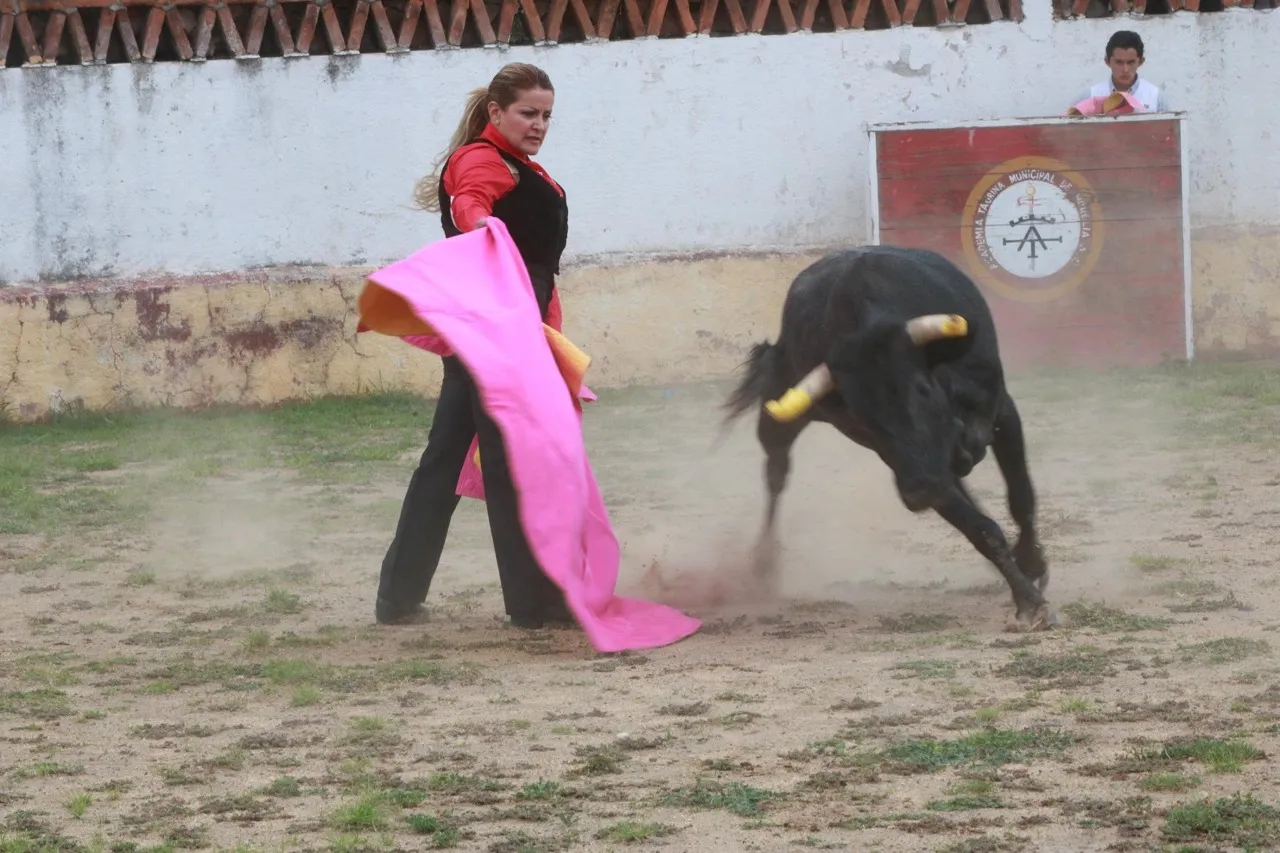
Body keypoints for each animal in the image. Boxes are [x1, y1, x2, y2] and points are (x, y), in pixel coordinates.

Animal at [727, 242, 1054, 627]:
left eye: (922, 389)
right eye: (863, 418)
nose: (919, 491)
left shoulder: (1002, 413)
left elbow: (1021, 498)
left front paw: (1032, 565)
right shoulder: (904, 463)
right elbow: (980, 528)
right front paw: (1029, 602)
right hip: (779, 415)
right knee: (776, 473)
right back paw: (763, 564)